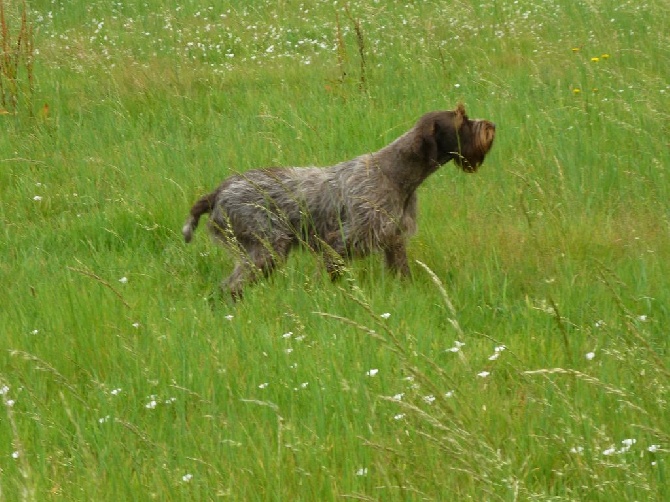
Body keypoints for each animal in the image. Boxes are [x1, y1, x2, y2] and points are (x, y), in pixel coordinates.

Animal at [181, 103, 496, 298]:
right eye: (462, 120)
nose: (491, 125)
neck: (395, 174)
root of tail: (218, 191)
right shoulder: (341, 242)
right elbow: (325, 276)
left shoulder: (393, 241)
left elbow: (402, 274)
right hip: (267, 249)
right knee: (229, 287)